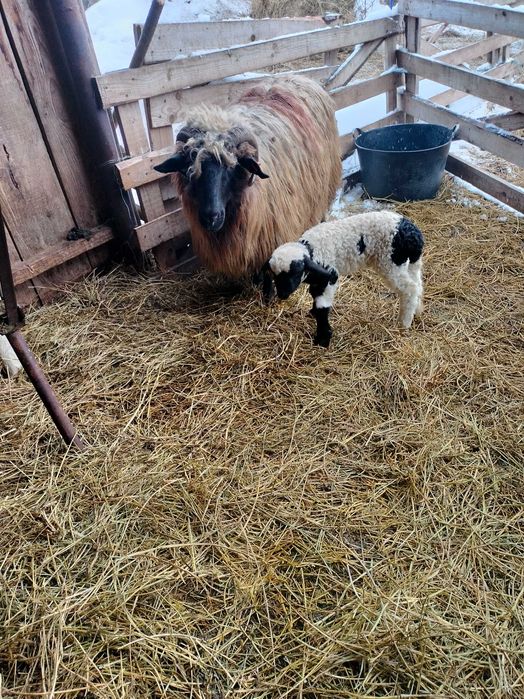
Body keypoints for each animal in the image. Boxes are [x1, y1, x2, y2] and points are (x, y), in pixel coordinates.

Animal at [264, 211, 424, 347]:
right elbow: (314, 297)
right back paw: (416, 310)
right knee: (417, 284)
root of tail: (414, 235)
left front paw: (323, 338)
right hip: (406, 263)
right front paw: (313, 314)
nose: (282, 294)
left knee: (410, 289)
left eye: (296, 272)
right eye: (274, 275)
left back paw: (403, 324)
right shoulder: (318, 280)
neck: (312, 250)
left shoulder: (329, 277)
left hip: (390, 262)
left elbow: (322, 307)